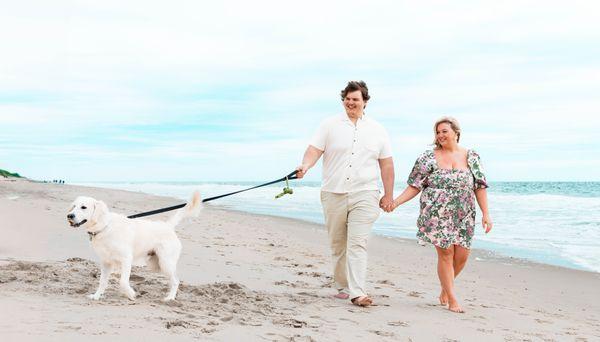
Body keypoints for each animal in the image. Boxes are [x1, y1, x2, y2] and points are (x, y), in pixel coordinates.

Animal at [67, 192, 200, 302]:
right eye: (74, 206)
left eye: (83, 207)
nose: (69, 215)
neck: (104, 227)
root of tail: (167, 226)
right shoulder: (105, 262)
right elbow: (102, 282)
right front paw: (97, 296)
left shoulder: (126, 259)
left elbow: (123, 282)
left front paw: (130, 294)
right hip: (155, 265)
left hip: (165, 263)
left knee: (176, 281)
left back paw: (170, 298)